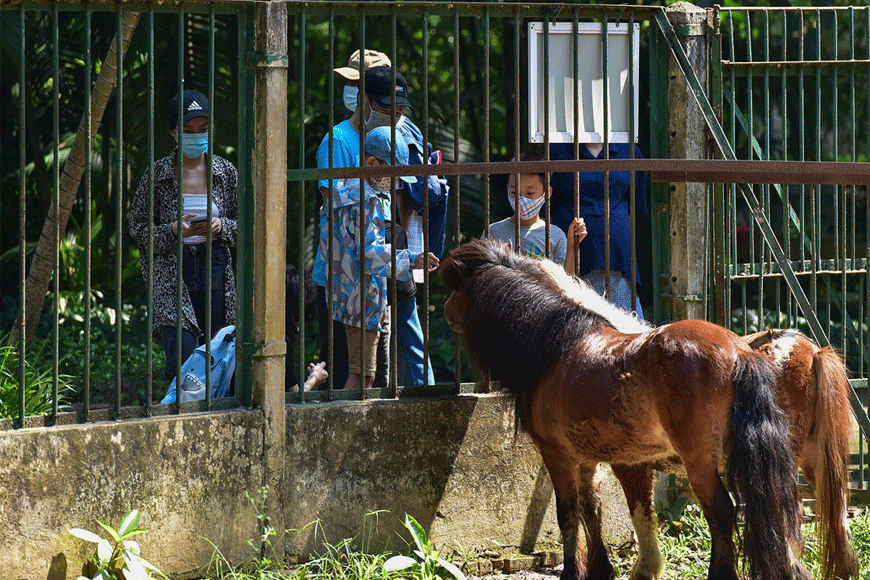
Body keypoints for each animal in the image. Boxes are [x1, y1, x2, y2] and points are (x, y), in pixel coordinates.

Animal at [442, 239, 812, 580]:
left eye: (456, 287)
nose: (443, 310)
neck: (553, 348)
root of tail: (740, 353)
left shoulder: (557, 453)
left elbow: (567, 513)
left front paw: (573, 572)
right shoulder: (589, 458)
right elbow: (592, 508)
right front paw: (600, 569)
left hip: (700, 460)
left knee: (721, 510)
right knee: (774, 506)